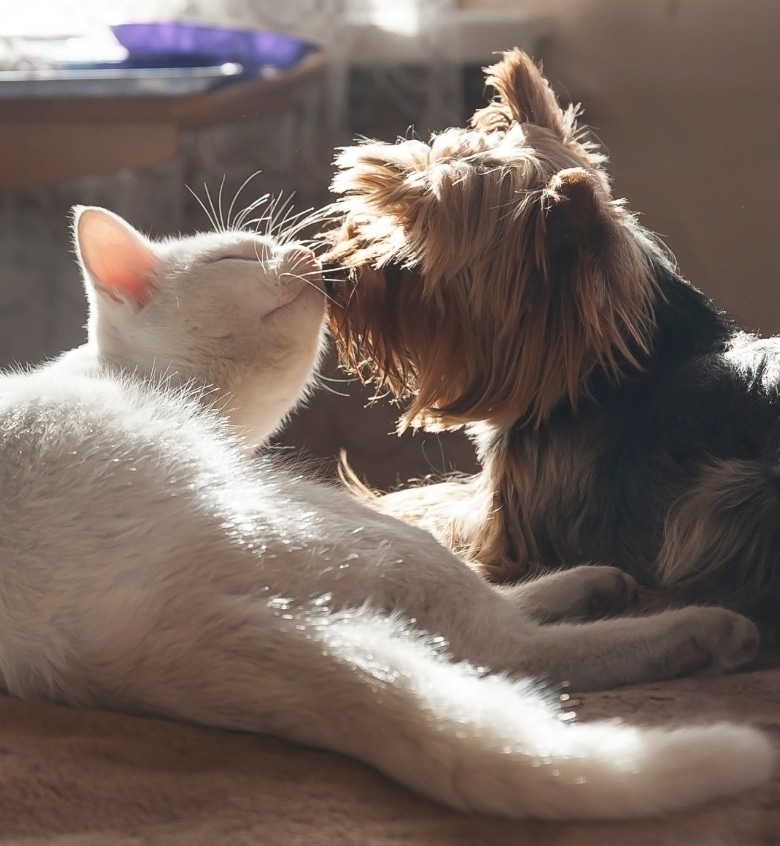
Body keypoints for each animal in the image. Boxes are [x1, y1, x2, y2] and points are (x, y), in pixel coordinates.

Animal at [0, 205, 772, 820]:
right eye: (237, 257)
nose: (306, 251)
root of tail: (115, 640)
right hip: (317, 514)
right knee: (500, 639)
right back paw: (691, 627)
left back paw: (597, 586)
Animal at [320, 46, 780, 628]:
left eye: (418, 251)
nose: (332, 272)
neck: (603, 368)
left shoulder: (508, 525)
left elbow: (438, 512)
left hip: (730, 495)